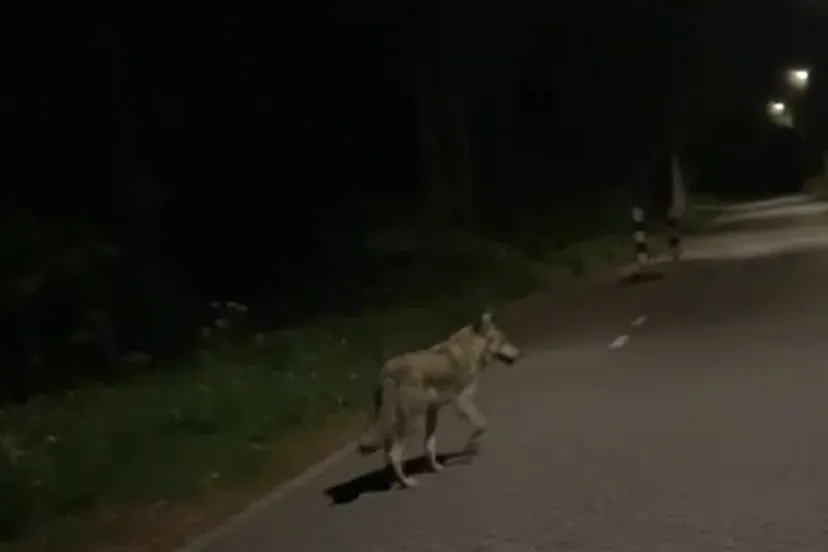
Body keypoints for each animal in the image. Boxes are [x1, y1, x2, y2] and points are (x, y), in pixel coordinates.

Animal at [356, 311, 521, 488]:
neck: (471, 349)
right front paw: (471, 442)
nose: (519, 353)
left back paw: (395, 481)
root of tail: (388, 370)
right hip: (410, 423)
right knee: (394, 455)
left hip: (394, 423)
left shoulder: (433, 410)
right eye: (504, 340)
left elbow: (430, 445)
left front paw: (435, 467)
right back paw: (407, 482)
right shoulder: (463, 403)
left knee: (387, 453)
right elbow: (483, 425)